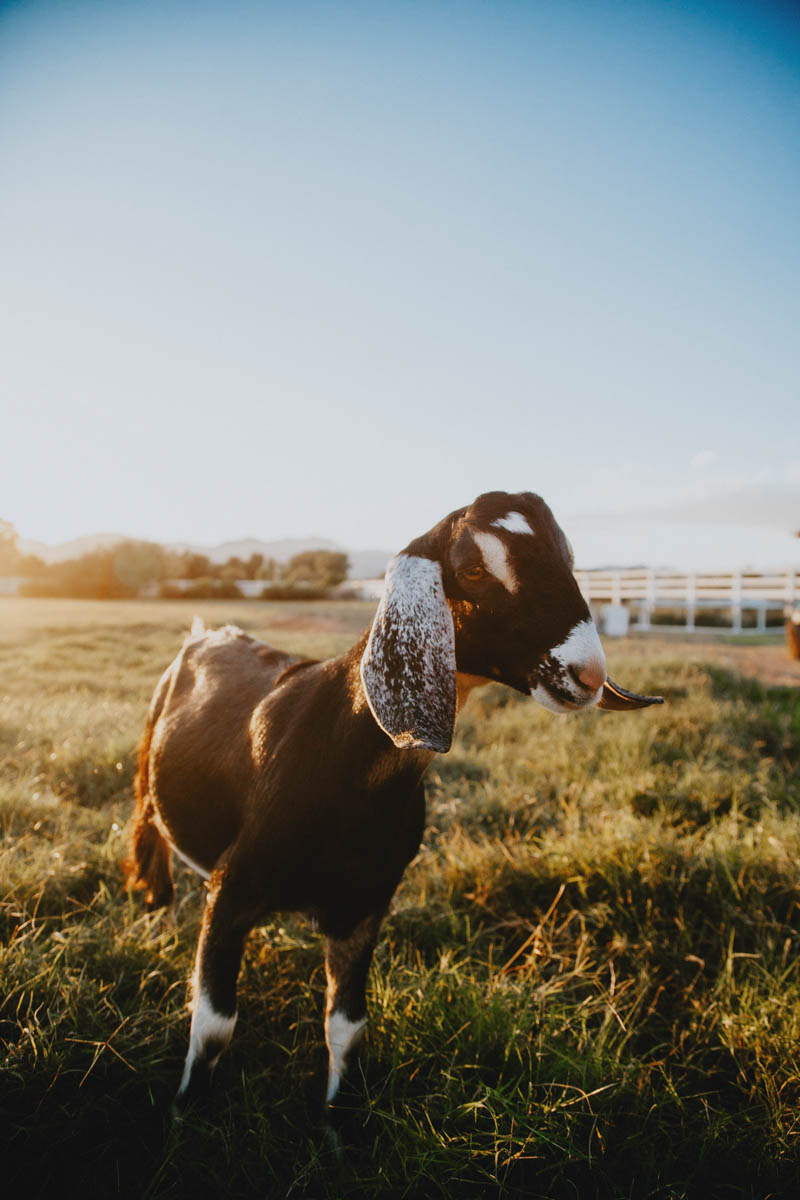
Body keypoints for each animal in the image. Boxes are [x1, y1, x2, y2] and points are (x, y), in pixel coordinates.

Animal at [126, 492, 662, 1108]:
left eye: (568, 556)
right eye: (473, 569)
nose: (587, 674)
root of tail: (206, 633)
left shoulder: (367, 903)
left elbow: (348, 1027)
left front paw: (338, 1116)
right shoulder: (231, 888)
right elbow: (214, 1026)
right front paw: (185, 1112)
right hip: (148, 792)